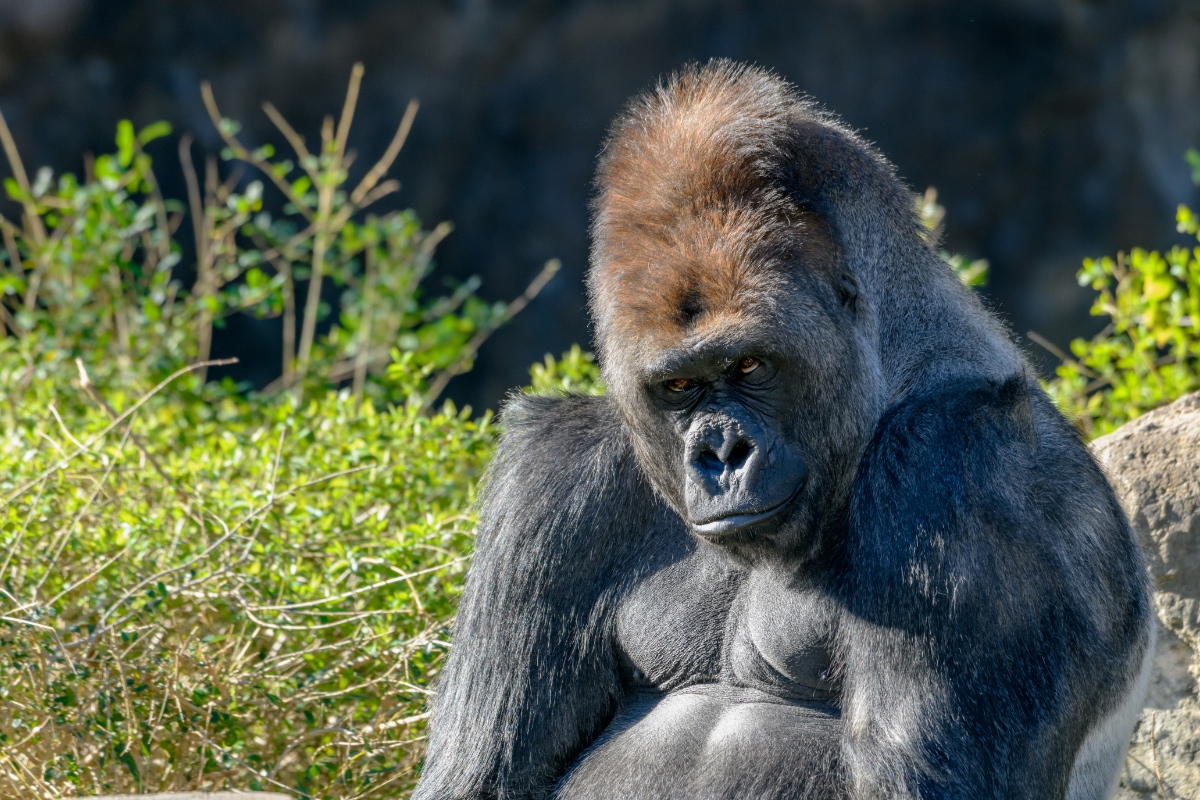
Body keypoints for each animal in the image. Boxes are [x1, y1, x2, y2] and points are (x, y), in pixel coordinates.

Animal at [412, 62, 1152, 800]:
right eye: (678, 386)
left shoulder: (956, 461)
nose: (720, 454)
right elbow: (480, 777)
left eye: (750, 365)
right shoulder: (553, 472)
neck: (899, 370)